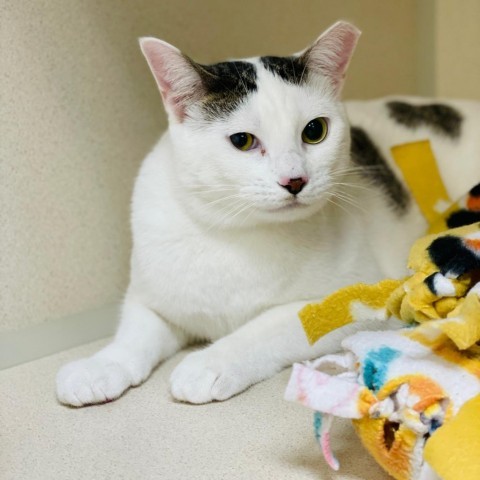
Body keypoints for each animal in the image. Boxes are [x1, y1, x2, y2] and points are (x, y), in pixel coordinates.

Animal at [57, 21, 480, 404]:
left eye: (315, 131)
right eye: (242, 141)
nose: (294, 180)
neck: (235, 235)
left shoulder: (354, 301)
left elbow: (269, 326)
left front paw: (209, 362)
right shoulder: (151, 294)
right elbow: (135, 331)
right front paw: (100, 366)